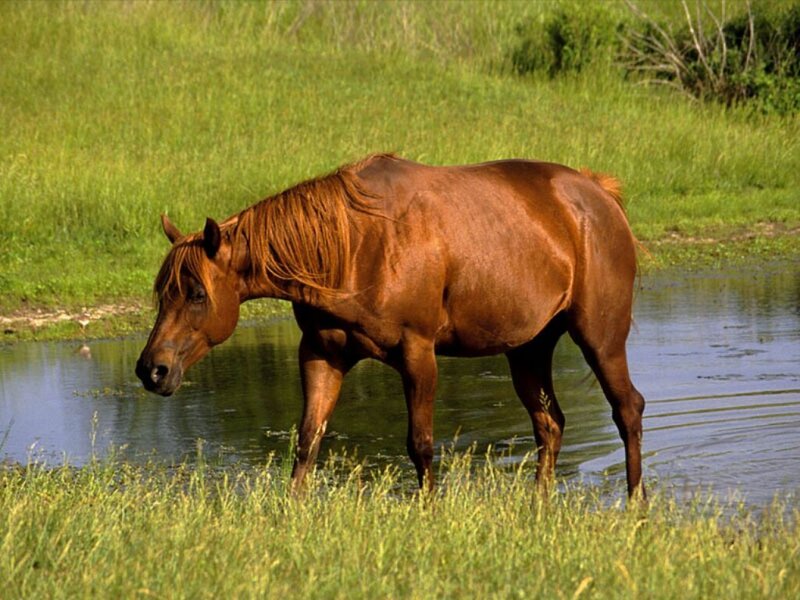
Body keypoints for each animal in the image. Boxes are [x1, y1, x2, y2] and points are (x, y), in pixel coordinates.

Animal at [136, 154, 646, 498]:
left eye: (197, 294)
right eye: (163, 293)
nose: (151, 370)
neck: (354, 248)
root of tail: (599, 195)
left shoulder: (418, 355)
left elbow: (420, 445)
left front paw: (430, 511)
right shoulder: (320, 354)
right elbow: (307, 441)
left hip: (600, 338)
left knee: (628, 410)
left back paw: (635, 504)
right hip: (528, 349)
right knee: (550, 424)